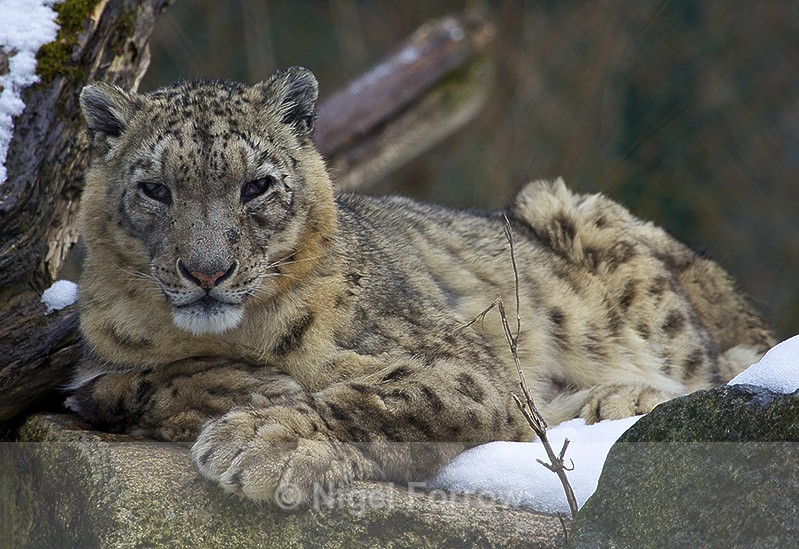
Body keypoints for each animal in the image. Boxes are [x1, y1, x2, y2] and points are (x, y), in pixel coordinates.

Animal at [67, 67, 773, 507]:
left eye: (256, 185)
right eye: (156, 188)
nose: (207, 270)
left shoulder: (463, 367)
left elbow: (386, 400)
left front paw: (264, 441)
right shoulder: (99, 359)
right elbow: (122, 386)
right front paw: (237, 388)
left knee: (716, 370)